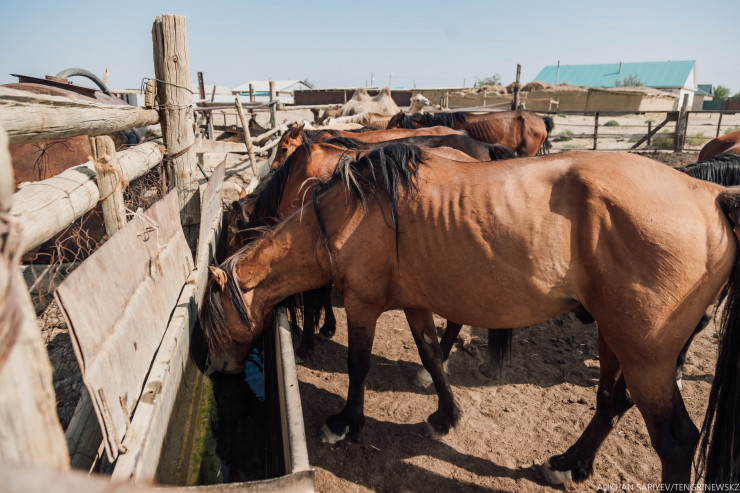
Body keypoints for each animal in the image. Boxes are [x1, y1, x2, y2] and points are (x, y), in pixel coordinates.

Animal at [202, 144, 740, 486]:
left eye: (211, 325)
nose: (215, 368)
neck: (342, 215)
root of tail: (710, 196)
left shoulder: (362, 304)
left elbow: (358, 365)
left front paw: (345, 423)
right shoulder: (416, 303)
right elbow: (431, 356)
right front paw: (445, 415)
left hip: (646, 357)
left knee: (675, 441)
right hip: (615, 339)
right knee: (610, 402)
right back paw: (570, 464)